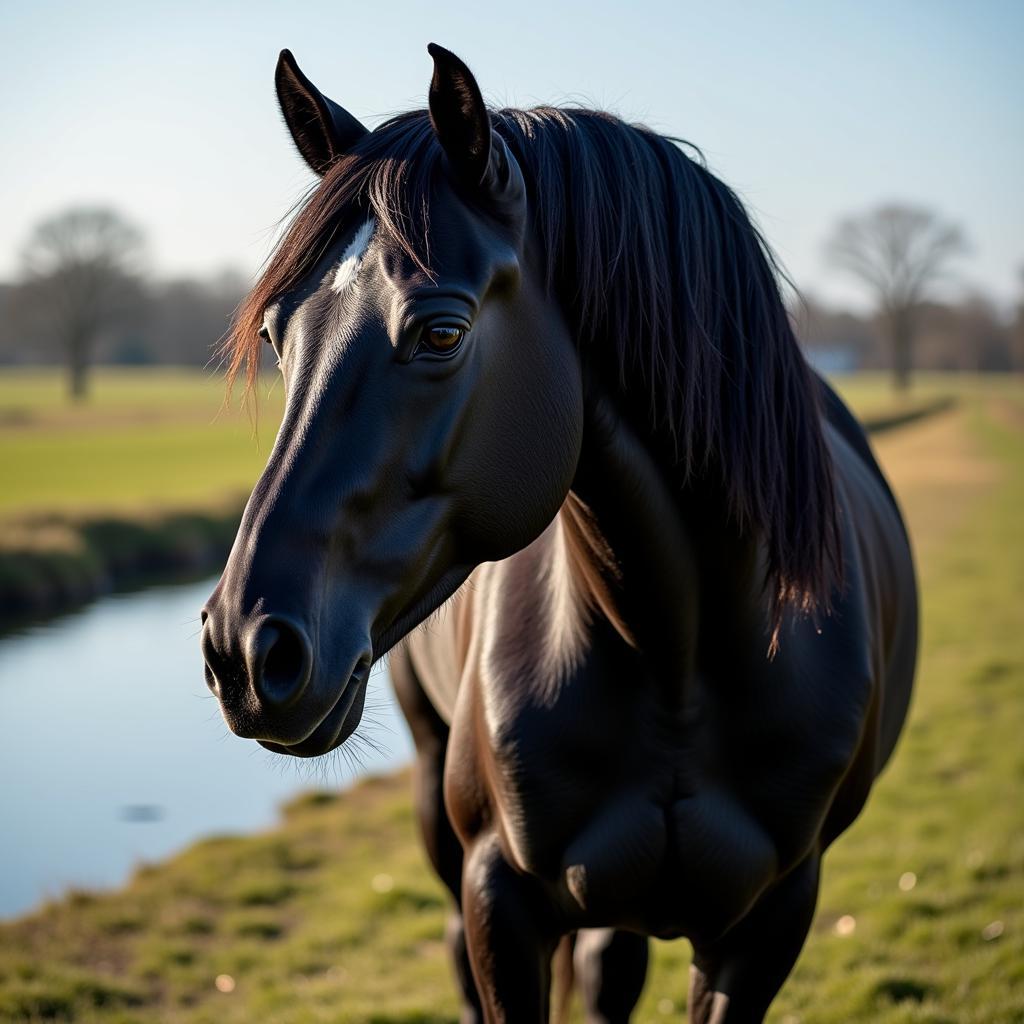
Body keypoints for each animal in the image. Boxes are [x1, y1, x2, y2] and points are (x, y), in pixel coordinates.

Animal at [199, 44, 921, 1019]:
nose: (245, 648)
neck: (678, 655)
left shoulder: (768, 923)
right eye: (278, 335)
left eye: (442, 332)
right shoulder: (498, 899)